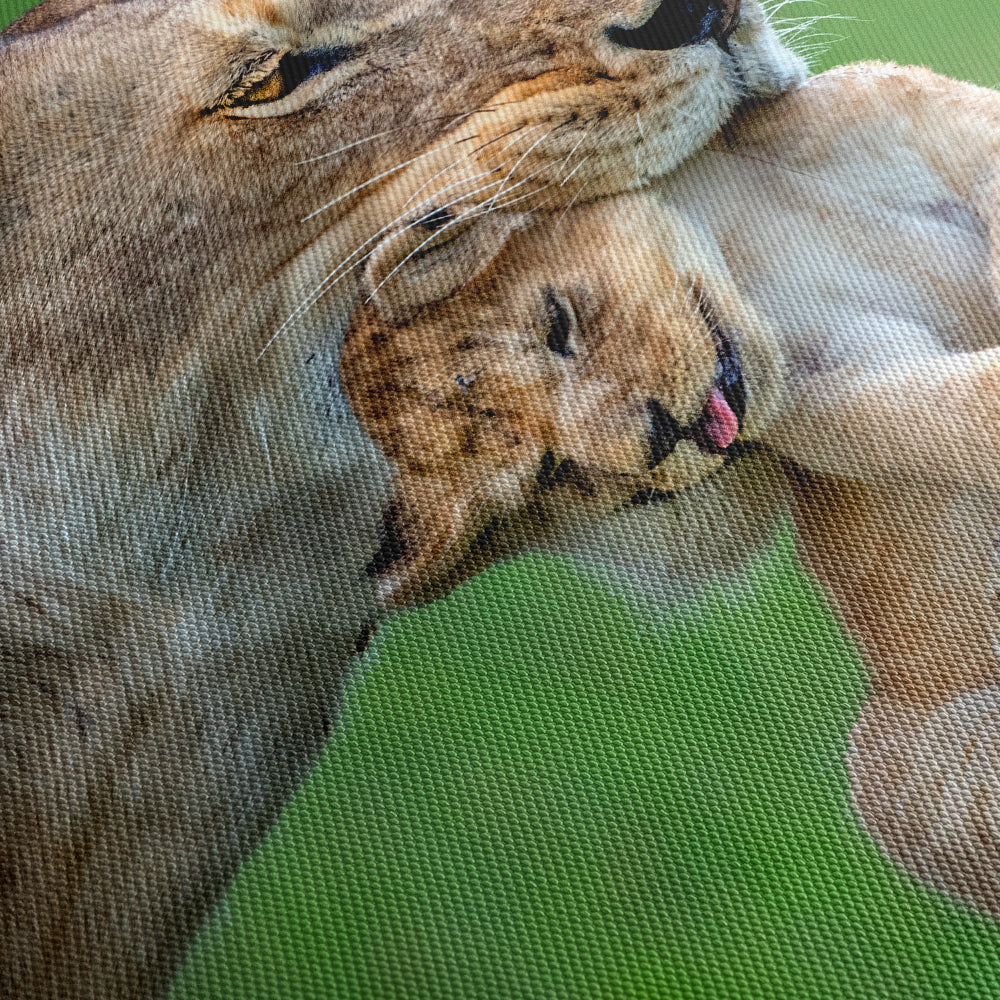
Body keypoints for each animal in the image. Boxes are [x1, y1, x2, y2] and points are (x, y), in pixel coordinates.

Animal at [342, 63, 1000, 918]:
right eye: (557, 471)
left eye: (559, 324)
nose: (660, 437)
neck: (741, 234)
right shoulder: (838, 391)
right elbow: (951, 406)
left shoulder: (921, 120)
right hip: (890, 759)